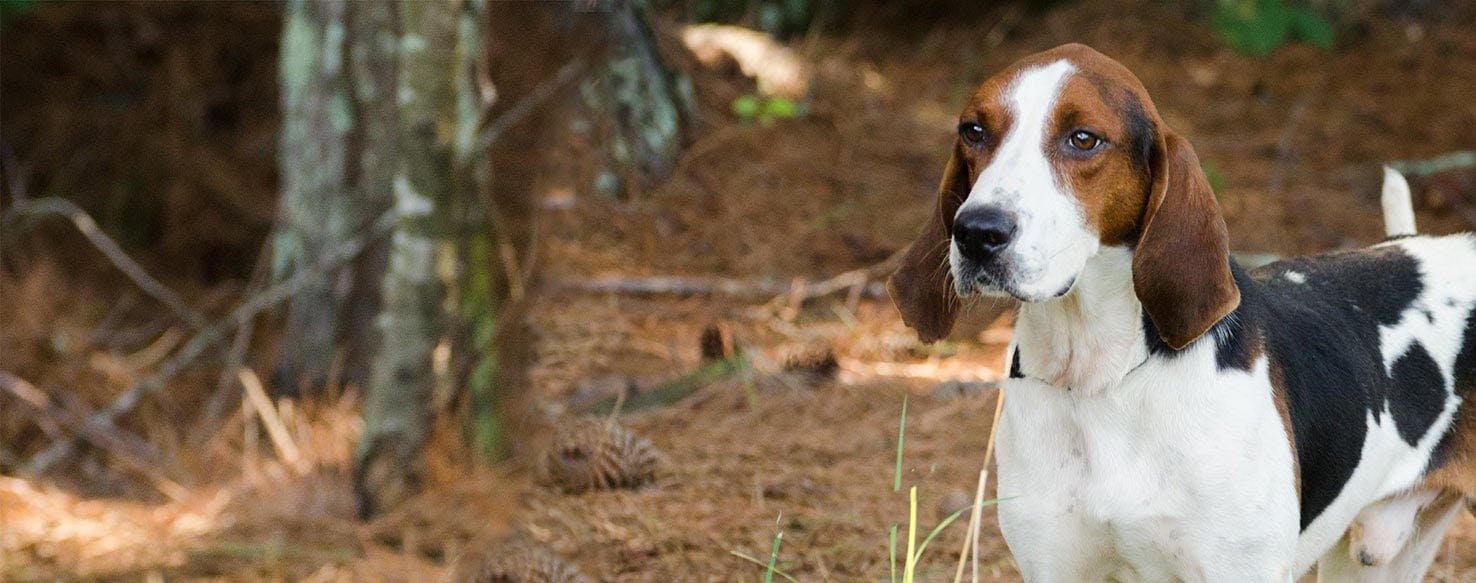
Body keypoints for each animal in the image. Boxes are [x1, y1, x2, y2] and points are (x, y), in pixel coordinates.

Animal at [885, 43, 1476, 581]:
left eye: (1083, 139)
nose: (976, 231)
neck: (1099, 376)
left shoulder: (1240, 569)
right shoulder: (1055, 566)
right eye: (973, 131)